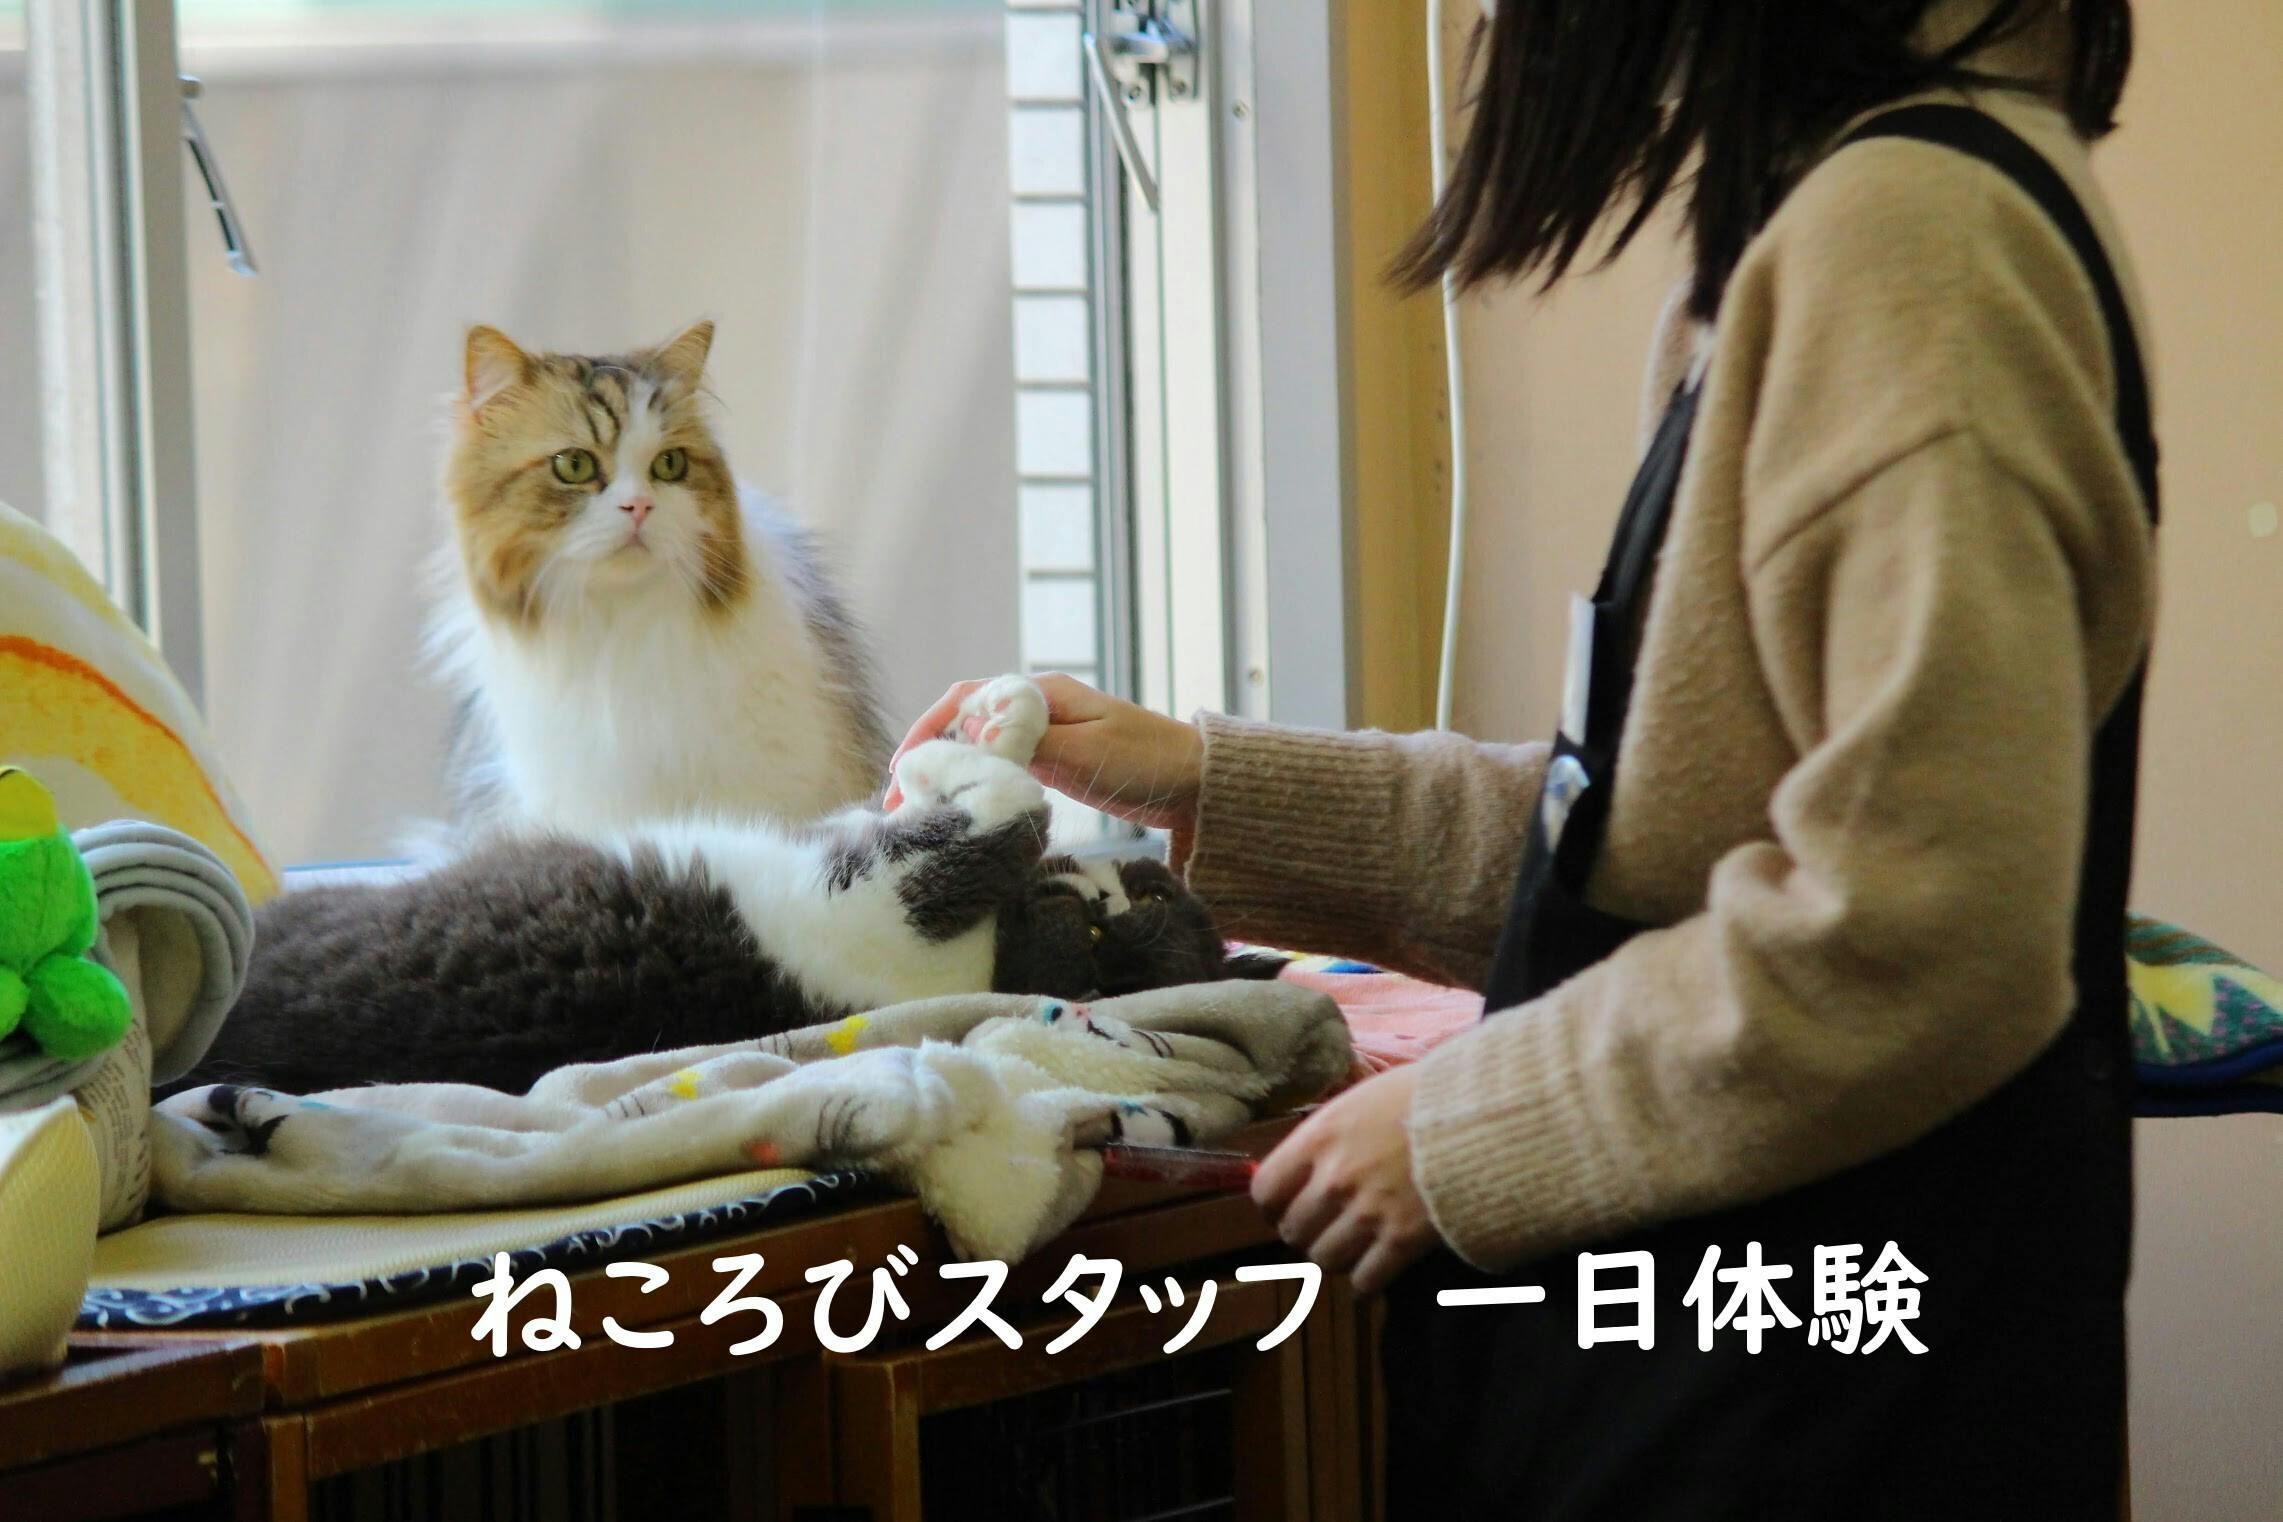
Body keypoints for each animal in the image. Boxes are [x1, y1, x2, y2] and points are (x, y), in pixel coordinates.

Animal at [170, 678, 1282, 1100]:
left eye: (1109, 935)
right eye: (1150, 884)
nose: (1107, 891)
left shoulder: (882, 893)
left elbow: (1007, 804)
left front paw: (1000, 718)